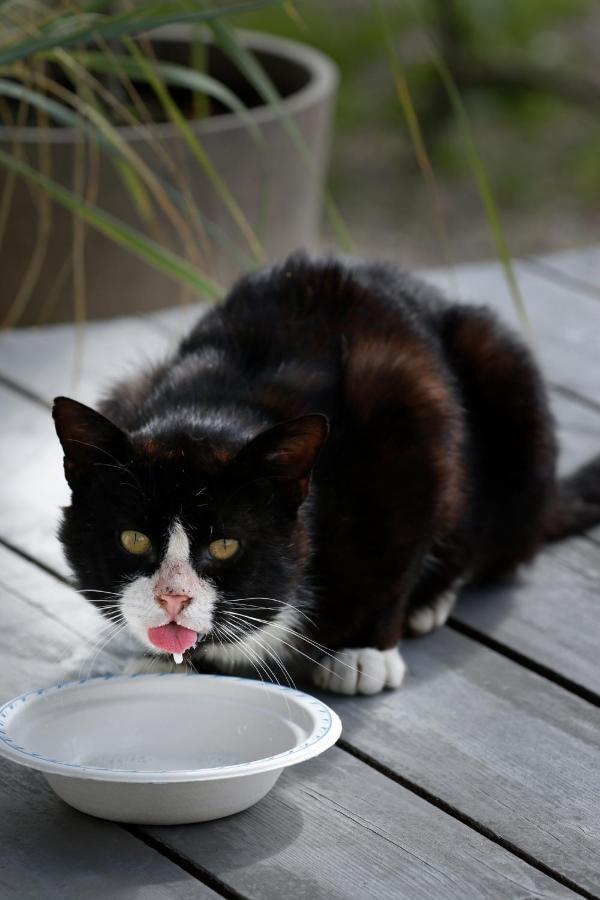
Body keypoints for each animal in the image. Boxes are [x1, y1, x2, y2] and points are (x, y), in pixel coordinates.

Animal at [52, 253, 600, 696]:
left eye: (226, 544)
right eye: (133, 539)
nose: (173, 596)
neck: (216, 404)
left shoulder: (409, 409)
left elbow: (404, 550)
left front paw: (365, 650)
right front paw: (164, 662)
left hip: (504, 375)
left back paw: (431, 599)